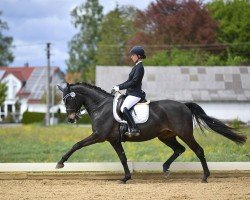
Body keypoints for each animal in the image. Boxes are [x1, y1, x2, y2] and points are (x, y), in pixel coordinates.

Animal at [56, 82, 246, 183]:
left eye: (69, 99)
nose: (70, 118)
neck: (100, 107)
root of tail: (184, 105)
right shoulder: (113, 140)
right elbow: (123, 158)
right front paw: (126, 177)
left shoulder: (99, 136)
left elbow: (77, 144)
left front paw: (60, 163)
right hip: (165, 136)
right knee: (179, 149)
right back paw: (165, 168)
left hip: (185, 134)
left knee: (198, 150)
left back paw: (205, 177)